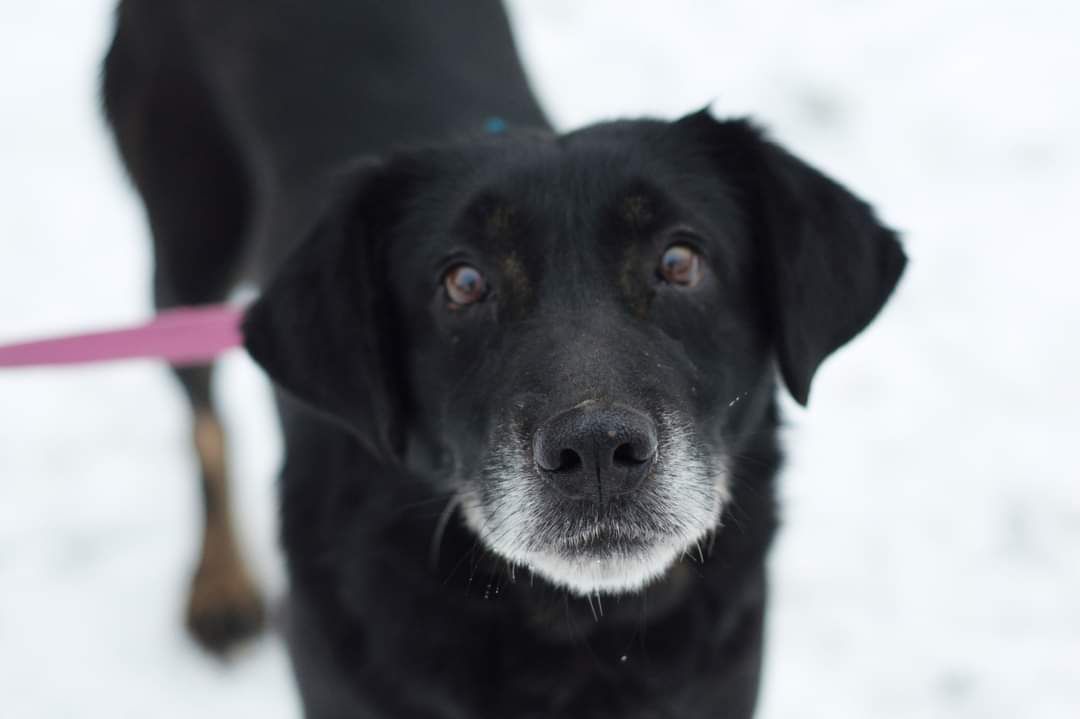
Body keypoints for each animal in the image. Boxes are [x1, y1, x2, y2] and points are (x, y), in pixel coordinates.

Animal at [107, 2, 902, 712]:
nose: (597, 448)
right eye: (463, 282)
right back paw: (219, 587)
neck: (575, 637)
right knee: (204, 420)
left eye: (680, 261)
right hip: (185, 249)